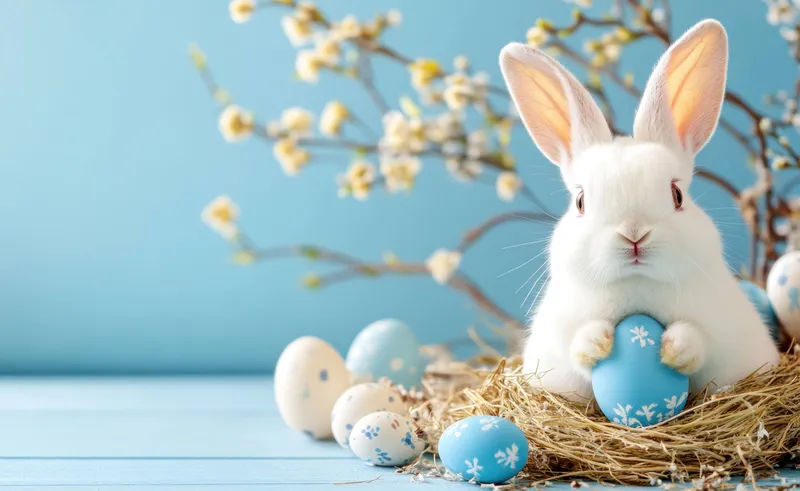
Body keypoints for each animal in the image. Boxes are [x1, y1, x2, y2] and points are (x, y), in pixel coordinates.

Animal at [498, 19, 780, 401]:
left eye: (677, 195)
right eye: (580, 202)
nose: (634, 235)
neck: (637, 287)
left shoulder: (719, 331)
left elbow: (700, 344)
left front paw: (674, 349)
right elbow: (576, 350)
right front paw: (597, 343)